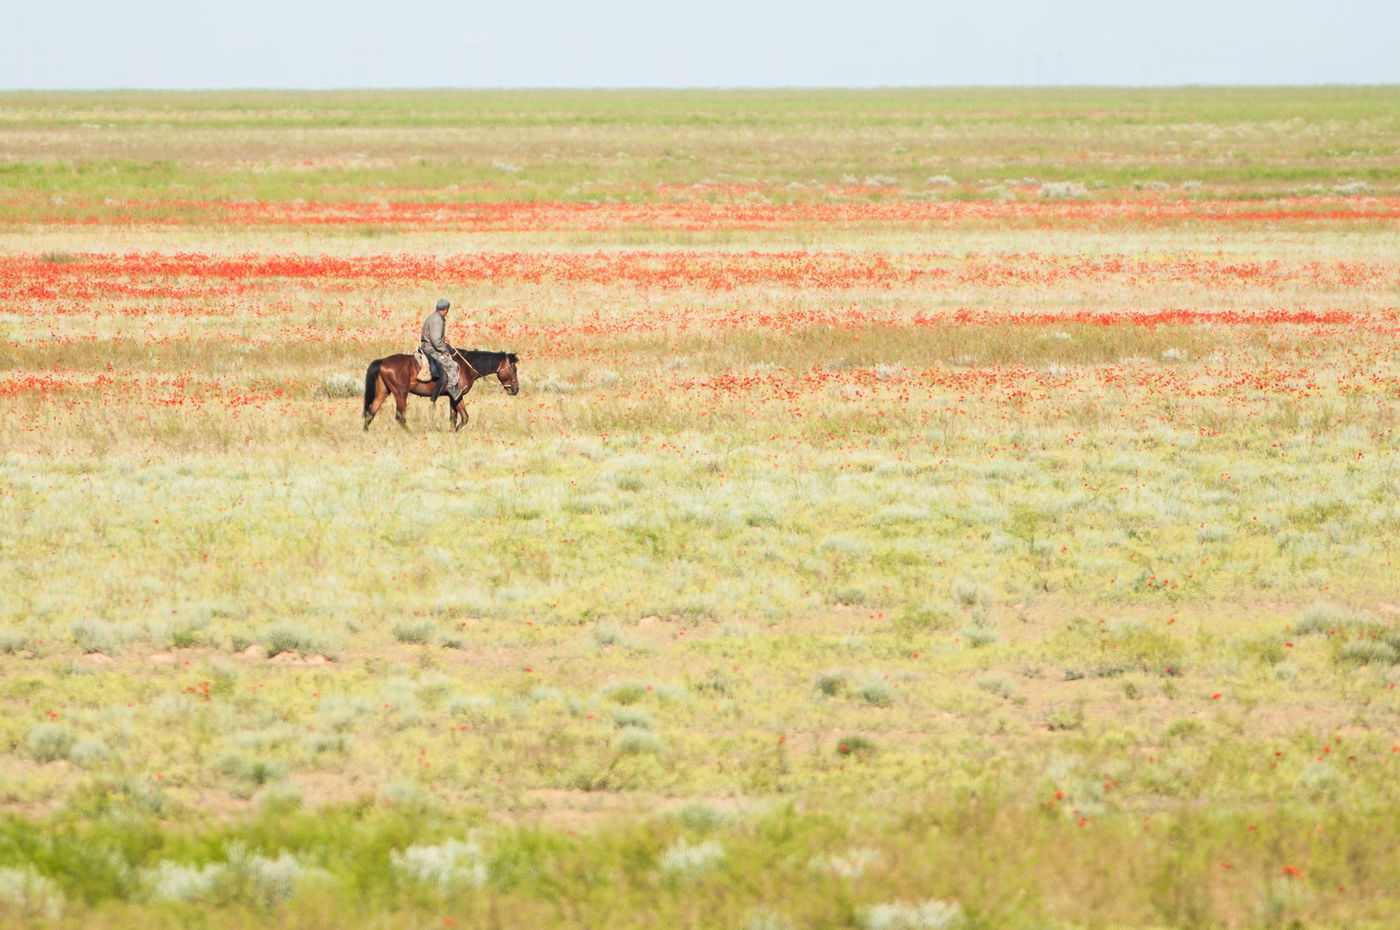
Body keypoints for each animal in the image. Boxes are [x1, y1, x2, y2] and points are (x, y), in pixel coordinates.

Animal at [361, 348, 520, 431]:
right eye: (514, 369)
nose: (515, 389)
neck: (465, 367)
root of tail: (382, 361)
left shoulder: (453, 397)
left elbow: (458, 417)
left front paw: (452, 432)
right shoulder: (456, 395)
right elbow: (461, 417)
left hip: (383, 392)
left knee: (370, 412)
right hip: (401, 393)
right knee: (400, 417)